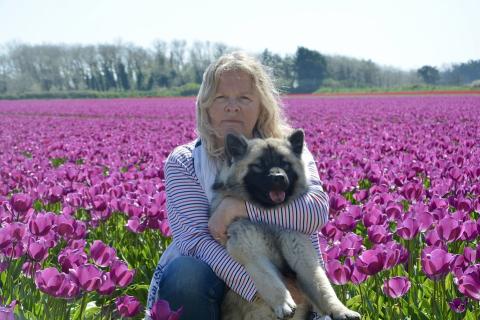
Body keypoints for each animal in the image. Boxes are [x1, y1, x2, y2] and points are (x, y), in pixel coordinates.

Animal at [210, 130, 360, 320]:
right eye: (258, 166)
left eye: (285, 165)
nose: (278, 178)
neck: (268, 218)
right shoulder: (249, 250)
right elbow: (267, 278)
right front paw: (282, 302)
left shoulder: (302, 255)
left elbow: (322, 286)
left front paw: (341, 310)